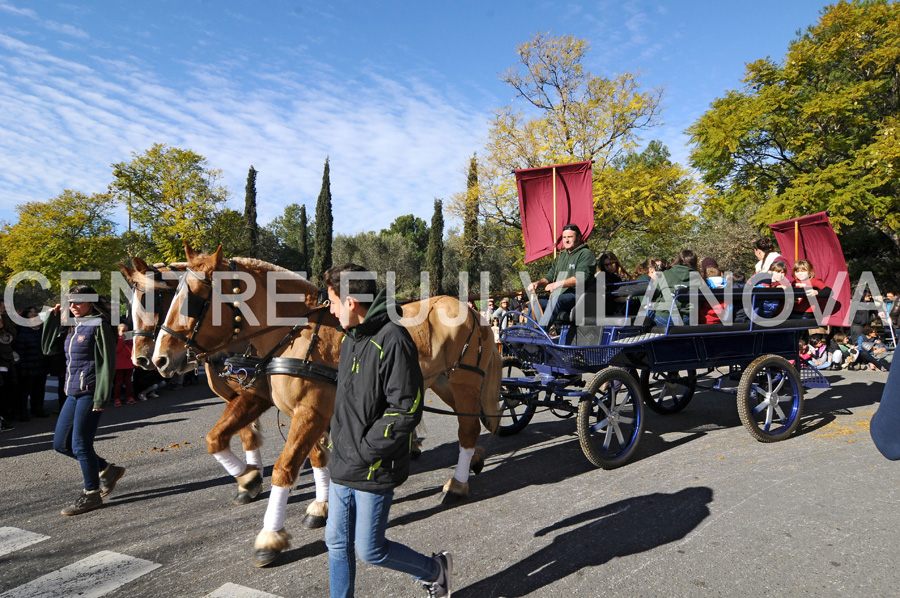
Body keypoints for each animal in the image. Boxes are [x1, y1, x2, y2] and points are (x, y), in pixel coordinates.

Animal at [119, 258, 330, 520]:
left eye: (151, 298)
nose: (144, 359)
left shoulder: (261, 396)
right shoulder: (235, 397)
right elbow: (239, 436)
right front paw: (250, 479)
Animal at [149, 246, 500, 568]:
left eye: (194, 299)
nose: (159, 360)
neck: (294, 333)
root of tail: (471, 311)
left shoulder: (311, 411)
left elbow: (285, 468)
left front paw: (269, 535)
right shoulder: (297, 409)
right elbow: (309, 456)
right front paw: (312, 503)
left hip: (463, 381)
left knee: (468, 428)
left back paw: (457, 484)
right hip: (442, 382)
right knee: (471, 424)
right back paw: (474, 460)